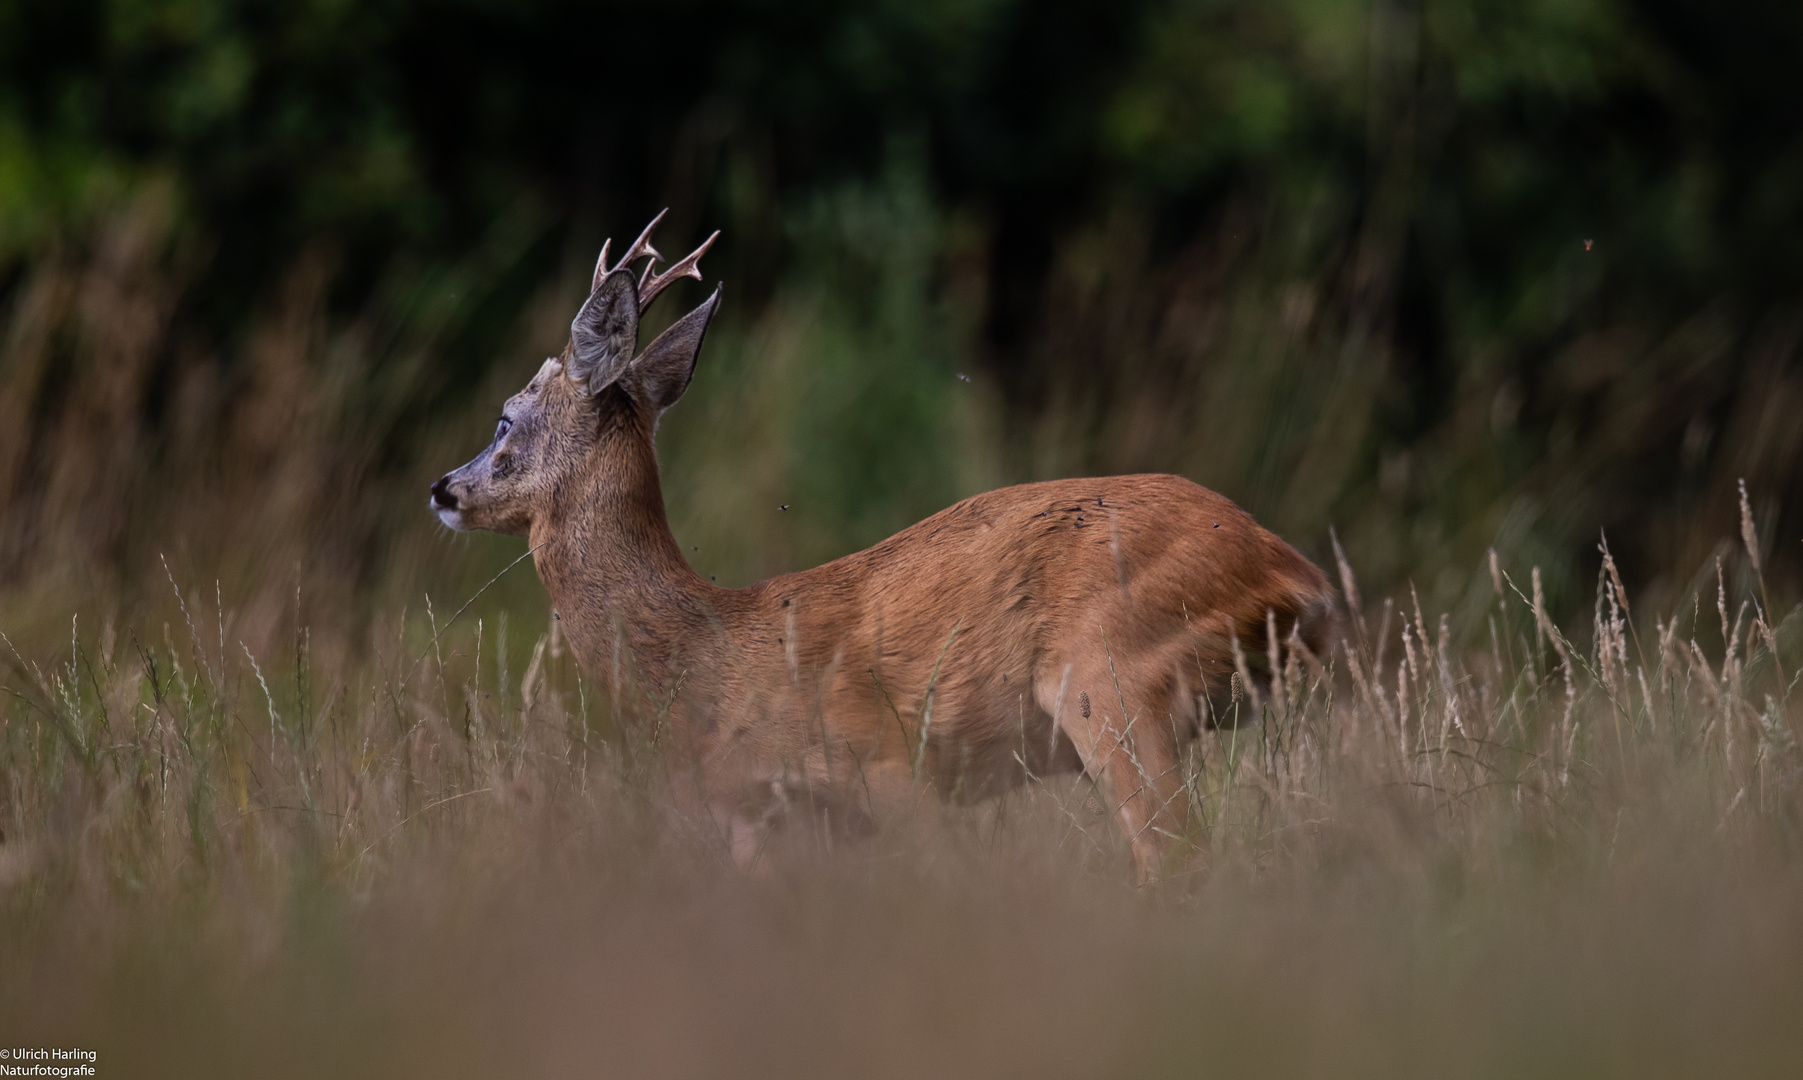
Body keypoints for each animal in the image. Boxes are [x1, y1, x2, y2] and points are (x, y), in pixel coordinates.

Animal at [432, 213, 1341, 887]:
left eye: (505, 419)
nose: (443, 487)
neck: (711, 663)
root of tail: (1295, 574)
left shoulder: (889, 766)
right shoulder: (770, 822)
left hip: (1111, 680)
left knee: (1175, 859)